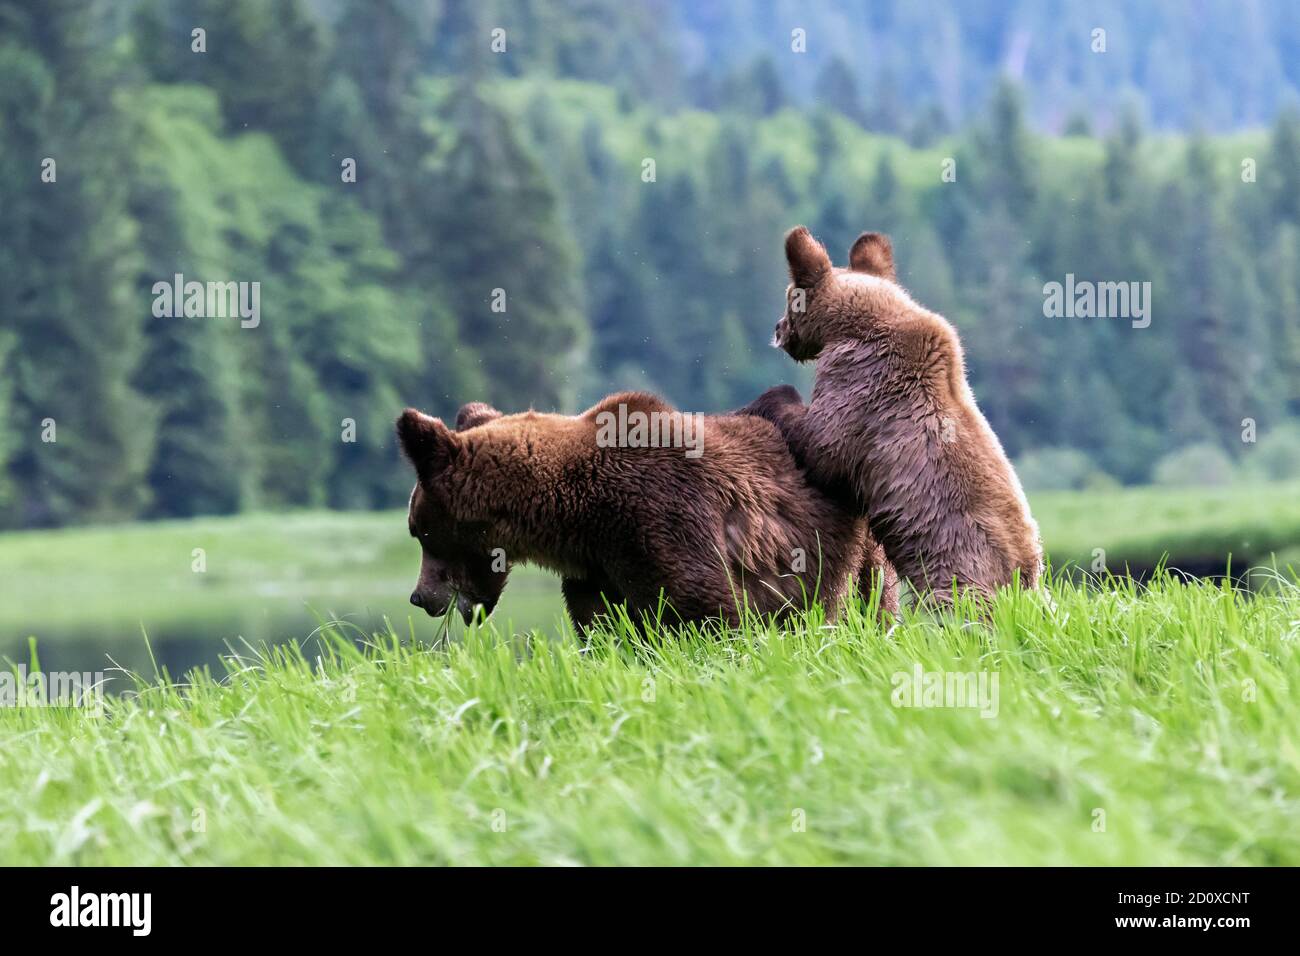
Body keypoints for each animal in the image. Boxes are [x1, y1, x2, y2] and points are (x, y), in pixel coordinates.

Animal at [397, 390, 894, 634]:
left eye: (419, 531)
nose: (419, 596)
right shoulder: (597, 573)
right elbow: (605, 630)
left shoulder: (665, 522)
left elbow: (710, 615)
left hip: (854, 546)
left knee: (866, 601)